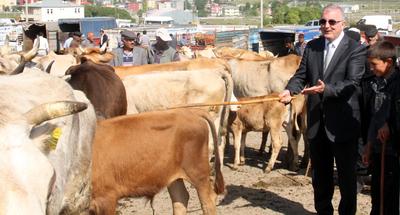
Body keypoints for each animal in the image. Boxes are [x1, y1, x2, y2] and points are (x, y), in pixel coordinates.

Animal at [90, 108, 225, 214]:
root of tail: (191, 112)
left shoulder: (106, 197)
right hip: (173, 176)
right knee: (180, 199)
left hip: (198, 173)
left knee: (208, 200)